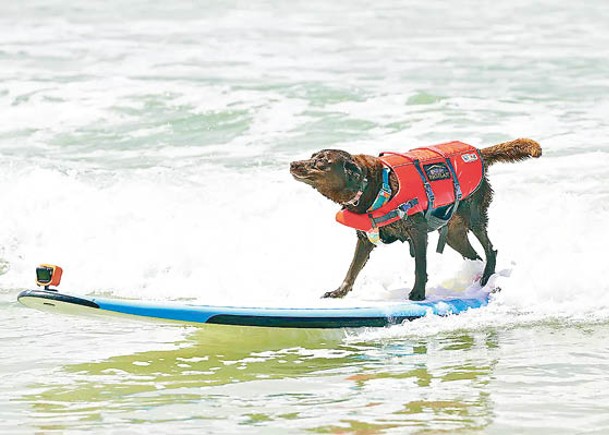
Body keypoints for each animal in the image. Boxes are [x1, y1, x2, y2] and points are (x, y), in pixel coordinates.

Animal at [290, 139, 540, 300]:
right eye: (312, 157)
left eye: (321, 161)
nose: (293, 163)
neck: (372, 186)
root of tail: (478, 151)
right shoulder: (365, 238)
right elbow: (352, 269)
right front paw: (338, 292)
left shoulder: (417, 232)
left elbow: (420, 266)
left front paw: (418, 293)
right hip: (454, 233)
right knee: (474, 255)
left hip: (474, 215)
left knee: (490, 250)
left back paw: (487, 277)